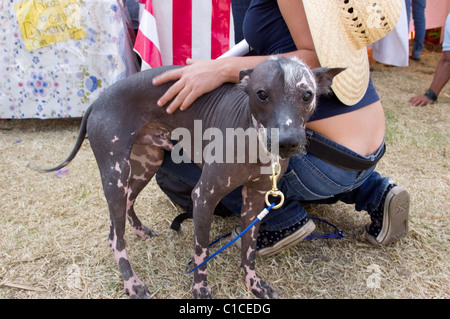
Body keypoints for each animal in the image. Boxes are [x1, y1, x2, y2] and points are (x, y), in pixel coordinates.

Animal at [39, 57, 342, 300]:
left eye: (307, 95)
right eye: (262, 94)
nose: (288, 142)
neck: (252, 139)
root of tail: (96, 102)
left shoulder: (256, 201)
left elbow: (249, 250)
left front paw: (253, 283)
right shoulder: (204, 196)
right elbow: (201, 251)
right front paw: (200, 288)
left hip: (146, 165)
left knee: (122, 216)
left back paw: (138, 231)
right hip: (116, 175)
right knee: (118, 238)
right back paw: (132, 283)